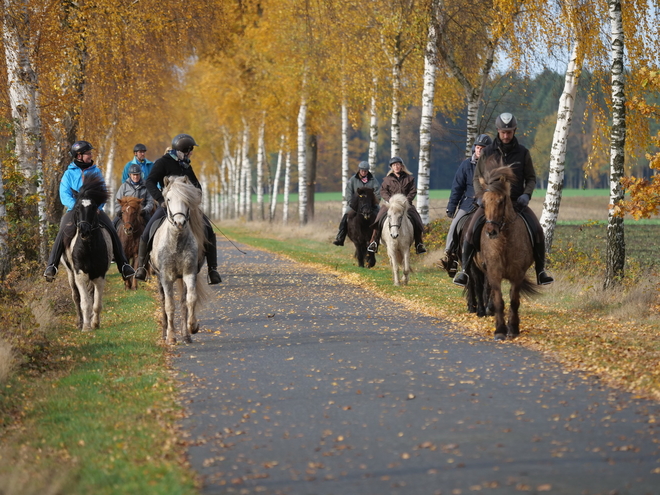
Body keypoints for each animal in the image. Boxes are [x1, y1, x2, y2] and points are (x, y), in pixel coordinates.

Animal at [61, 174, 112, 334]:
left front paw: (94, 323)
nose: (84, 231)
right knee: (76, 296)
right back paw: (80, 321)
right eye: (77, 207)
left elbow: (96, 303)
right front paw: (85, 326)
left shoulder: (99, 275)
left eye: (94, 207)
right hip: (70, 273)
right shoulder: (80, 274)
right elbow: (84, 302)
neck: (89, 247)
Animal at [476, 167, 540, 340]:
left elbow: (514, 301)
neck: (504, 240)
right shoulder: (494, 271)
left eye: (501, 201)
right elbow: (499, 300)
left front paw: (513, 328)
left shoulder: (517, 274)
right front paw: (499, 330)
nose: (491, 232)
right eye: (484, 203)